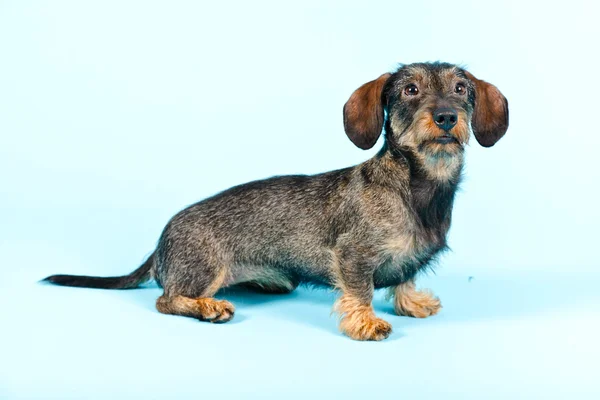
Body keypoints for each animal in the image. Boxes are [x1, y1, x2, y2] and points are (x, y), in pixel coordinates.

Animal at [44, 61, 508, 340]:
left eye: (461, 88)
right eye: (410, 89)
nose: (446, 117)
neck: (417, 189)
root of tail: (160, 244)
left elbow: (405, 277)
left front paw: (411, 301)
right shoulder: (353, 256)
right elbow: (359, 291)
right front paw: (366, 321)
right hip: (204, 269)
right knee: (165, 300)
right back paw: (207, 307)